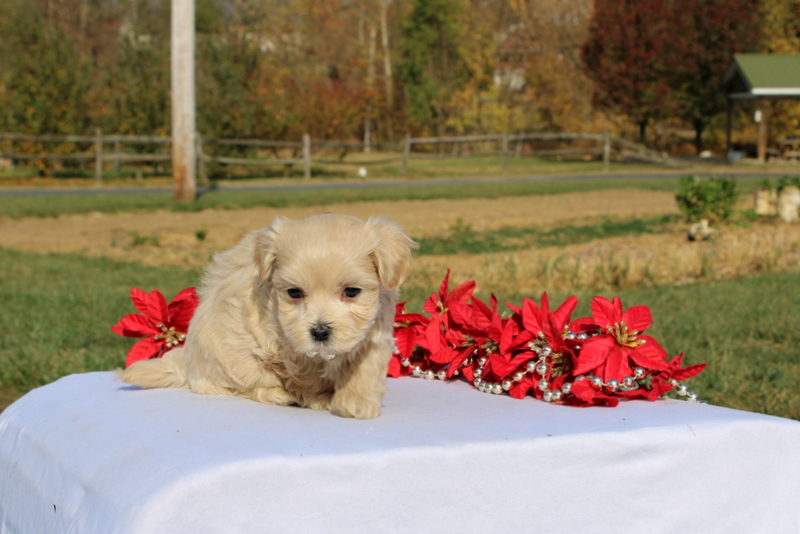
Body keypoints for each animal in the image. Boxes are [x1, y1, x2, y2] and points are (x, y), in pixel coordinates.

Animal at [120, 216, 418, 420]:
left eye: (352, 291)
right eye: (294, 292)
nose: (320, 331)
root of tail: (185, 360)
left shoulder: (373, 333)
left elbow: (364, 367)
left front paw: (357, 402)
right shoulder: (287, 350)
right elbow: (306, 377)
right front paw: (320, 398)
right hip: (232, 362)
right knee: (243, 387)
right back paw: (280, 394)